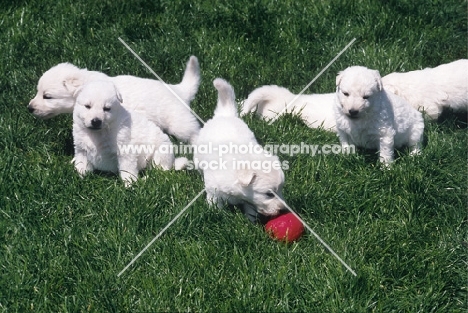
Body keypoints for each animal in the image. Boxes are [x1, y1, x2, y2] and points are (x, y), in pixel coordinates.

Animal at [193, 77, 288, 221]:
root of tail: (225, 115)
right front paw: (217, 214)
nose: (283, 210)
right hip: (198, 157)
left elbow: (250, 209)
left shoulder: (248, 200)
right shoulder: (214, 190)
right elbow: (215, 203)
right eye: (269, 194)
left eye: (281, 190)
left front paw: (251, 221)